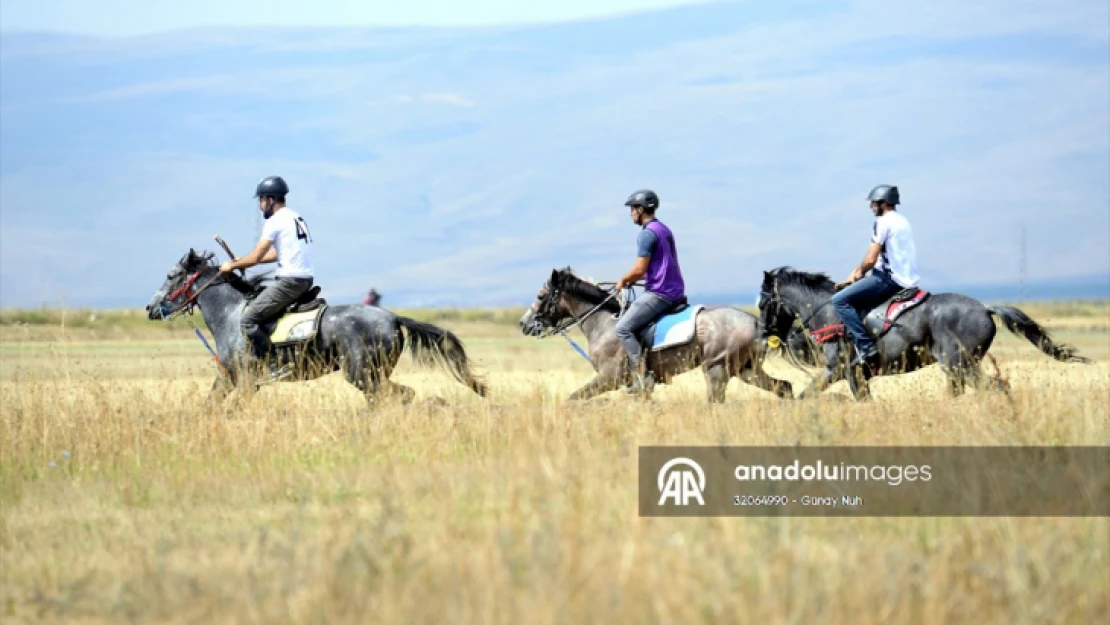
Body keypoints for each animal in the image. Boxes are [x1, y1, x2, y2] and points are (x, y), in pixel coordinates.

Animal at [144, 249, 486, 406]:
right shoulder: (228, 378)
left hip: (361, 373)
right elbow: (211, 406)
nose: (150, 308)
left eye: (172, 275)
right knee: (394, 396)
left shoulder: (246, 381)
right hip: (373, 374)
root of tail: (392, 318)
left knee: (396, 395)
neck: (230, 314)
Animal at [515, 267, 794, 404]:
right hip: (746, 369)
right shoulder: (640, 386)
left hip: (717, 369)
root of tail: (757, 322)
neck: (603, 323)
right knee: (784, 387)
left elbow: (574, 398)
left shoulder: (609, 378)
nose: (524, 324)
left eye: (541, 296)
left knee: (716, 402)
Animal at [754, 266, 1083, 399]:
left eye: (763, 302)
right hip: (959, 367)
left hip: (959, 364)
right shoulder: (855, 375)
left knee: (994, 386)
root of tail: (985, 308)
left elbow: (807, 396)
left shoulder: (840, 370)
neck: (828, 312)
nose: (765, 333)